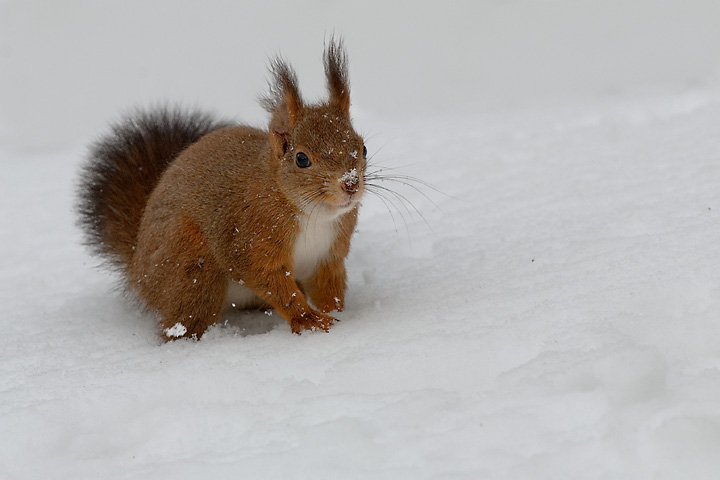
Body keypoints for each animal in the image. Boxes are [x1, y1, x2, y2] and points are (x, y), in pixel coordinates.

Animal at [79, 42, 366, 342]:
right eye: (301, 159)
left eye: (363, 148)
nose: (350, 184)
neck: (313, 214)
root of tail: (137, 268)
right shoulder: (249, 239)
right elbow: (271, 281)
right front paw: (309, 320)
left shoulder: (329, 254)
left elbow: (329, 287)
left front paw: (339, 315)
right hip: (192, 266)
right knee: (181, 321)